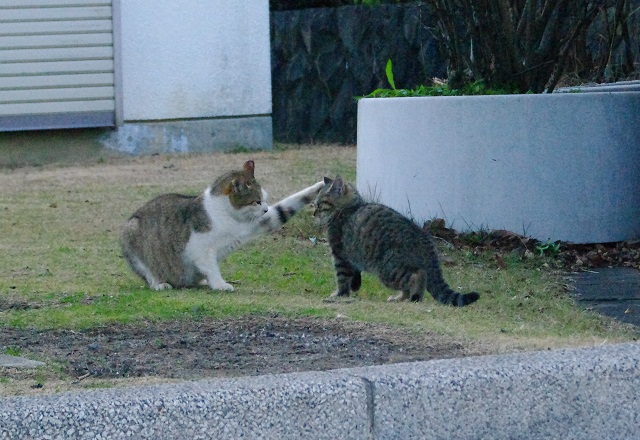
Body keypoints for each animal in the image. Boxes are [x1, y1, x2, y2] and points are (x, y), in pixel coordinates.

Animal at [120, 160, 322, 290]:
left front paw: (320, 185)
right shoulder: (199, 249)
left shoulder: (260, 222)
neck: (228, 217)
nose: (265, 209)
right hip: (131, 232)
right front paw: (220, 285)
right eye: (257, 201)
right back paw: (161, 284)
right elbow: (211, 267)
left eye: (265, 200)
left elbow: (285, 208)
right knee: (150, 275)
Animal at [316, 175, 480, 306]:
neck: (351, 207)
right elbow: (355, 274)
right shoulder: (352, 258)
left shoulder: (340, 255)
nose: (313, 213)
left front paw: (340, 294)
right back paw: (402, 298)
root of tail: (425, 240)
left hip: (388, 270)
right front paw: (354, 286)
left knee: (417, 276)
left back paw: (411, 297)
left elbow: (342, 278)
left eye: (319, 204)